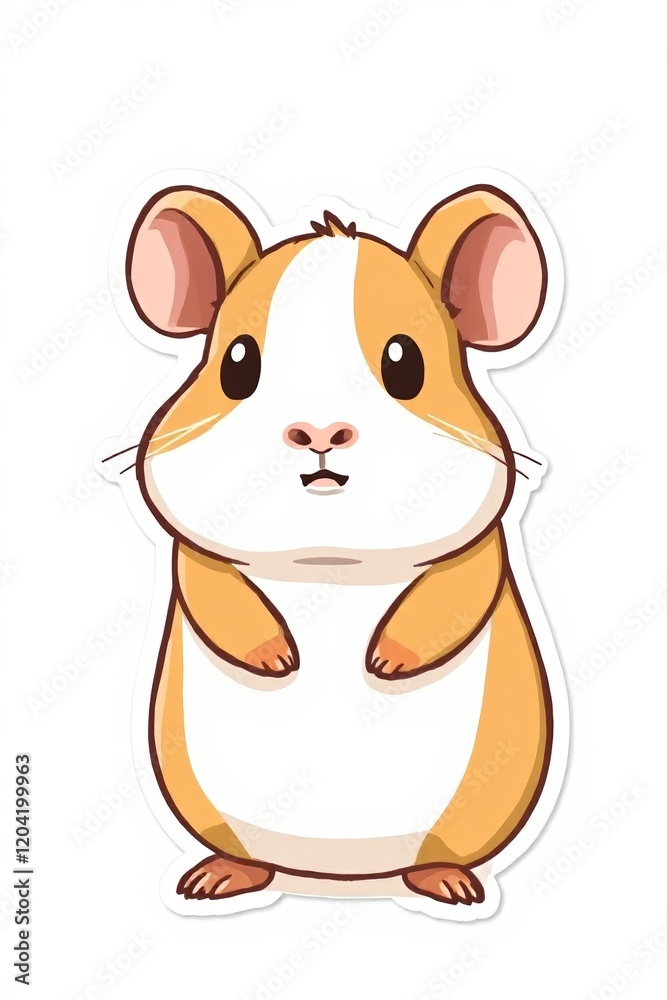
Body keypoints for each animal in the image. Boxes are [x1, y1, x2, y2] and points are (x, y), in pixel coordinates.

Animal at [104, 180, 564, 917]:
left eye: (405, 364)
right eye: (237, 365)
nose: (319, 430)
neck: (329, 564)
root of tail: (342, 875)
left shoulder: (479, 549)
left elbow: (453, 595)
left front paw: (383, 662)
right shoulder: (193, 554)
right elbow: (215, 590)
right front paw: (277, 659)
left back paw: (449, 884)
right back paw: (219, 877)